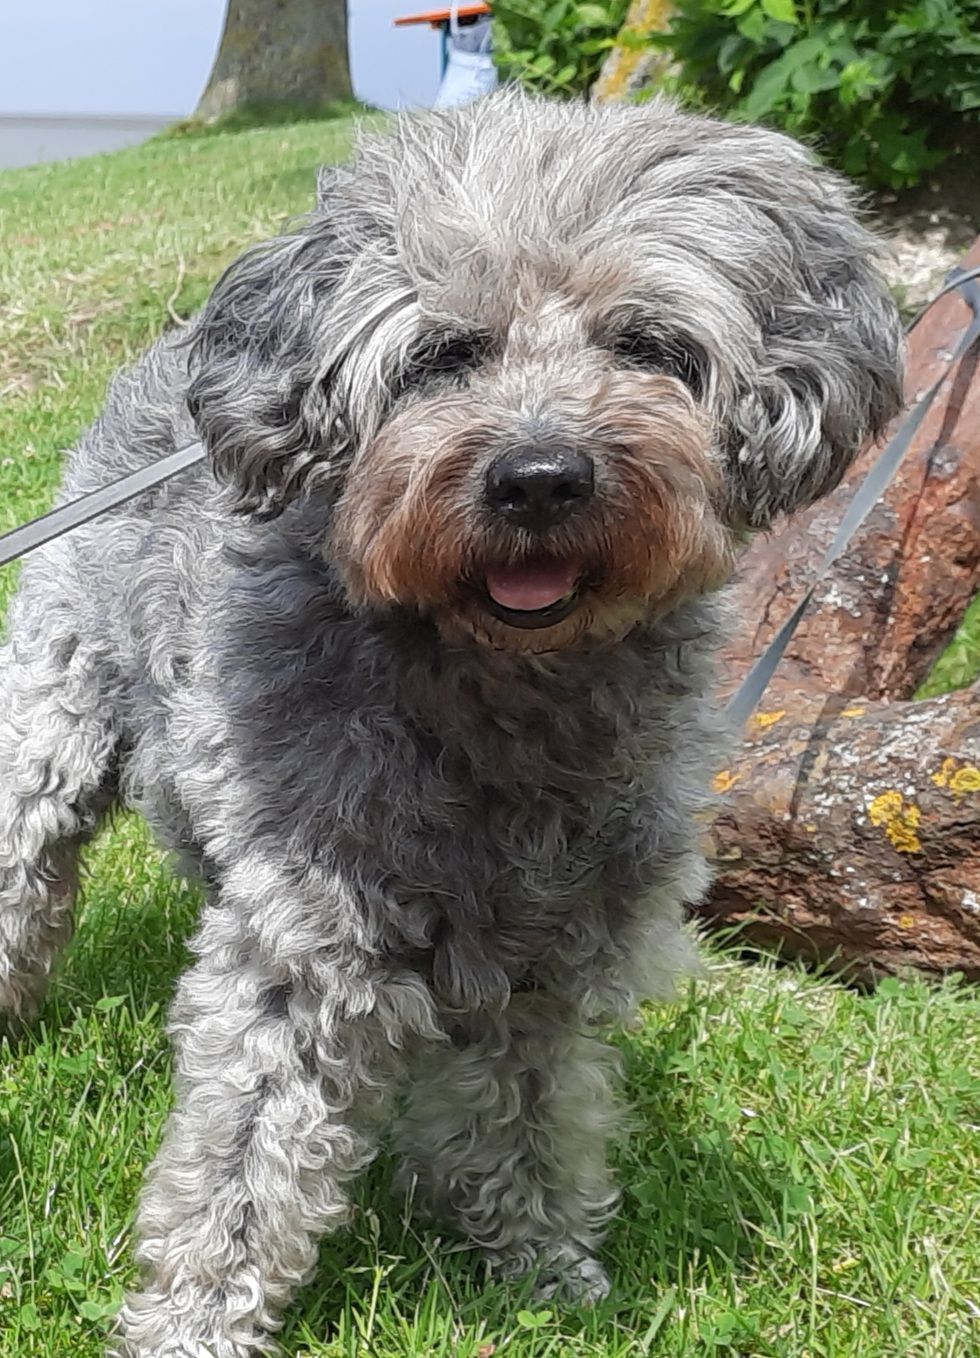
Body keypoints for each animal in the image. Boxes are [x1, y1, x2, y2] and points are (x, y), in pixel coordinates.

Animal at [0, 90, 902, 1357]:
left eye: (645, 345)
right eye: (441, 355)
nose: (538, 477)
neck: (497, 690)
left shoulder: (549, 951)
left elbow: (526, 1113)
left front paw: (539, 1264)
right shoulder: (303, 944)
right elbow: (242, 1159)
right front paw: (194, 1320)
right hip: (52, 727)